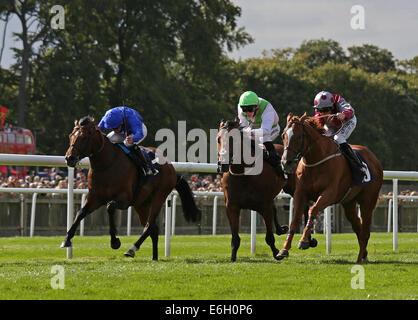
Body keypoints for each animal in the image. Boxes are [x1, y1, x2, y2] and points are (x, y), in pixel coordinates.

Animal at [60, 115, 202, 260]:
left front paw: (115, 241)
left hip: (159, 196)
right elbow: (80, 213)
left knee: (149, 226)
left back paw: (132, 249)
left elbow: (110, 207)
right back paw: (154, 257)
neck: (106, 165)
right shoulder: (95, 197)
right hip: (142, 204)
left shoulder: (125, 199)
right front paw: (66, 239)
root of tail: (171, 167)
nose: (69, 158)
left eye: (84, 137)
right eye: (70, 135)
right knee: (153, 229)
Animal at [216, 119, 290, 262]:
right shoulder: (232, 207)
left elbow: (269, 237)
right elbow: (235, 238)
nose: (223, 164)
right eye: (218, 139)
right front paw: (233, 257)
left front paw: (276, 253)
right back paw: (281, 229)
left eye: (233, 139)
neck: (244, 174)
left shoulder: (264, 206)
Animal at [278, 112, 382, 262]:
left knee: (365, 230)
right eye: (283, 135)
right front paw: (284, 249)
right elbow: (295, 218)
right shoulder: (300, 193)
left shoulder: (330, 193)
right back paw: (363, 255)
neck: (316, 160)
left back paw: (359, 259)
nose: (286, 163)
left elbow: (313, 210)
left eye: (298, 136)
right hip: (349, 202)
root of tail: (374, 158)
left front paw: (304, 241)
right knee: (358, 227)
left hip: (368, 201)